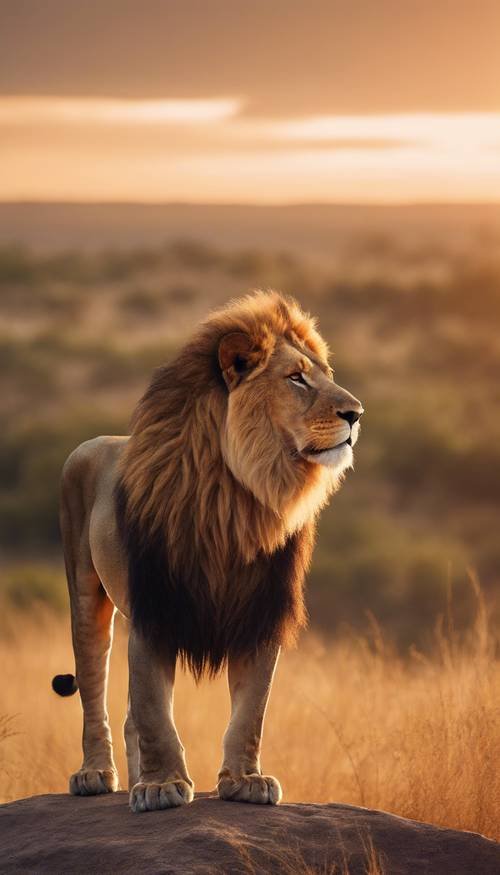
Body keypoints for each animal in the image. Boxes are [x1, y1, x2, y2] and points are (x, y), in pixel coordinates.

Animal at [52, 290, 363, 812]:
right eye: (296, 378)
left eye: (326, 375)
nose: (357, 414)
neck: (235, 496)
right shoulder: (157, 607)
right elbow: (156, 711)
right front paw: (161, 786)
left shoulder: (261, 609)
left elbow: (251, 710)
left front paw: (244, 780)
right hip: (85, 594)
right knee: (94, 687)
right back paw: (97, 774)